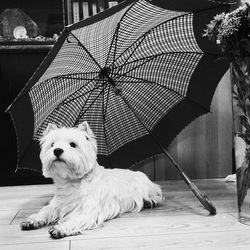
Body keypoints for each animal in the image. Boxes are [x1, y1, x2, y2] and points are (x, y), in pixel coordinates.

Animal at [21, 121, 162, 238]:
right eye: (52, 144)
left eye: (73, 144)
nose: (57, 150)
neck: (72, 182)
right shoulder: (58, 203)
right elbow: (46, 211)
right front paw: (32, 220)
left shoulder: (88, 210)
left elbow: (76, 219)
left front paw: (60, 229)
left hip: (145, 186)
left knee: (157, 194)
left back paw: (150, 201)